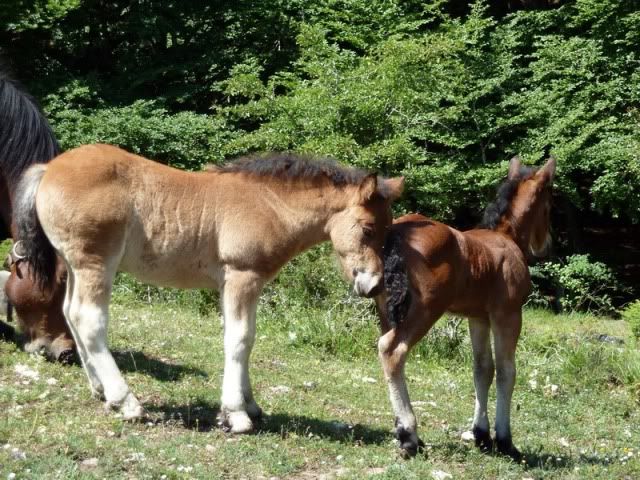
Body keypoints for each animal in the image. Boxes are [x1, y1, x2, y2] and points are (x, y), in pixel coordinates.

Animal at [16, 144, 404, 434]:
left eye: (388, 229)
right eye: (368, 229)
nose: (373, 284)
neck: (269, 204)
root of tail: (48, 169)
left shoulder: (242, 283)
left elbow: (246, 338)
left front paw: (251, 404)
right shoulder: (241, 276)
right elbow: (239, 338)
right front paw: (236, 415)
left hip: (75, 265)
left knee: (69, 312)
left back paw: (100, 390)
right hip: (96, 263)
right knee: (89, 320)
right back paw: (126, 402)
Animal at [378, 157, 552, 458]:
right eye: (549, 206)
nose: (546, 244)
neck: (507, 238)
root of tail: (396, 234)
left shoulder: (478, 317)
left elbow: (482, 369)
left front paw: (481, 434)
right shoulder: (508, 314)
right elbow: (507, 371)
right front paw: (505, 441)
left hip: (388, 311)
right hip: (424, 311)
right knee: (392, 351)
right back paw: (409, 436)